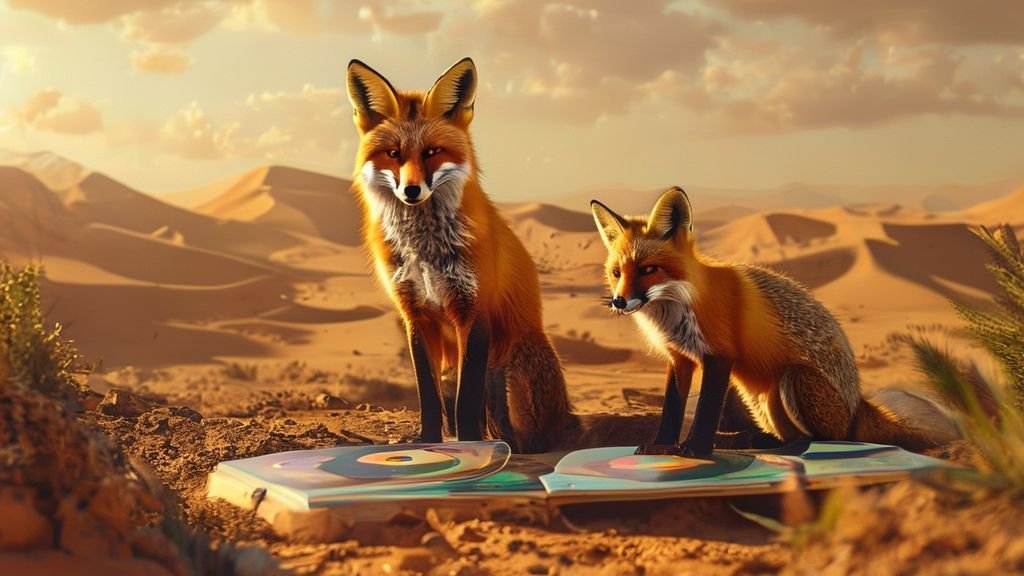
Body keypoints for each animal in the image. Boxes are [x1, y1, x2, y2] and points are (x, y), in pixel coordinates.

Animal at [345, 57, 576, 453]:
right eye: (393, 154)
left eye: (432, 152)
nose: (411, 190)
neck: (424, 248)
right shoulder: (415, 315)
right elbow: (429, 398)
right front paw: (427, 443)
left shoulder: (473, 309)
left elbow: (466, 402)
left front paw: (470, 445)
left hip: (508, 369)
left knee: (523, 436)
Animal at [591, 187, 954, 458]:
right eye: (617, 273)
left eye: (648, 269)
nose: (619, 302)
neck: (679, 306)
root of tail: (858, 406)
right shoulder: (679, 357)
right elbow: (671, 407)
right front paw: (663, 446)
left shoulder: (719, 353)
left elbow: (706, 408)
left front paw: (694, 449)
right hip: (761, 398)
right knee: (783, 436)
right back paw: (747, 439)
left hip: (793, 379)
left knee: (829, 438)